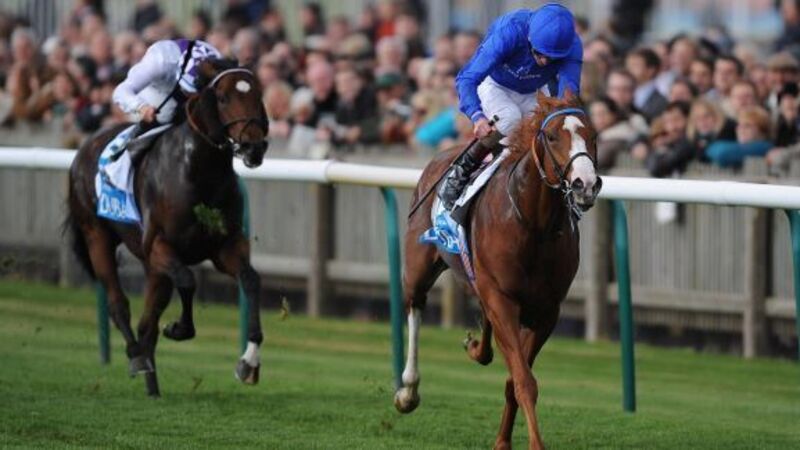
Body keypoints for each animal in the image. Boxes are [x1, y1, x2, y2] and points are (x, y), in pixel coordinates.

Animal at [64, 59, 269, 397]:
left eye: (258, 94)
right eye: (223, 98)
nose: (255, 147)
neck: (198, 170)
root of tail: (82, 150)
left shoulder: (225, 246)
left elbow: (251, 280)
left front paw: (248, 362)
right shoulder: (159, 246)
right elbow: (187, 280)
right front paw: (179, 328)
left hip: (154, 269)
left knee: (147, 323)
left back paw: (153, 387)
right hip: (97, 236)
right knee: (119, 305)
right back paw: (137, 358)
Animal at [395, 92, 601, 449]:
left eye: (593, 136)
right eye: (551, 136)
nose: (585, 185)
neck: (534, 225)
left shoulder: (546, 311)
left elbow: (515, 380)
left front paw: (503, 441)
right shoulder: (503, 298)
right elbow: (524, 381)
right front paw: (534, 444)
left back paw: (477, 348)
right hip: (420, 265)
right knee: (415, 306)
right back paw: (408, 391)